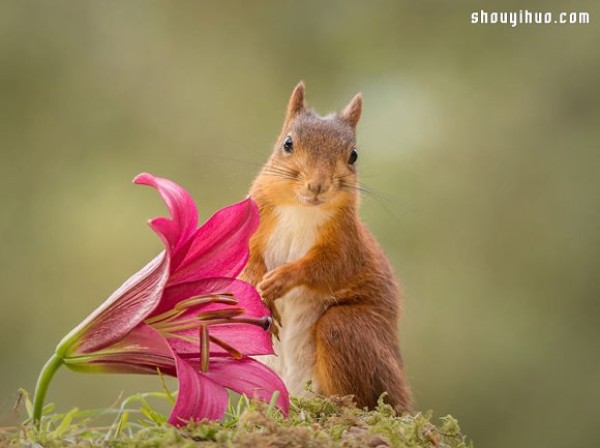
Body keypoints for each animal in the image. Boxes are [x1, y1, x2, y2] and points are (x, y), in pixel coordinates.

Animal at [239, 81, 412, 412]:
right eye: (288, 144)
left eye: (353, 155)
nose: (317, 185)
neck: (300, 209)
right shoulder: (252, 222)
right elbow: (246, 260)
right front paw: (259, 286)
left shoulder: (347, 243)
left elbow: (328, 267)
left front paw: (283, 279)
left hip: (347, 330)